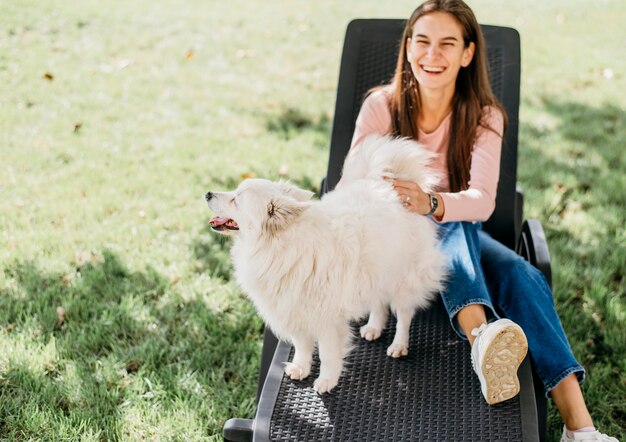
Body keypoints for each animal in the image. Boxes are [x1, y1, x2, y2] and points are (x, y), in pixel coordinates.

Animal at [207, 136, 446, 394]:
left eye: (235, 200)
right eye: (233, 192)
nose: (208, 193)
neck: (280, 247)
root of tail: (392, 187)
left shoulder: (328, 320)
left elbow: (328, 354)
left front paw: (327, 381)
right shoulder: (295, 310)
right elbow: (302, 346)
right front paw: (301, 368)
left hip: (405, 279)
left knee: (404, 315)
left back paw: (399, 345)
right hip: (378, 271)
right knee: (379, 302)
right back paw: (374, 327)